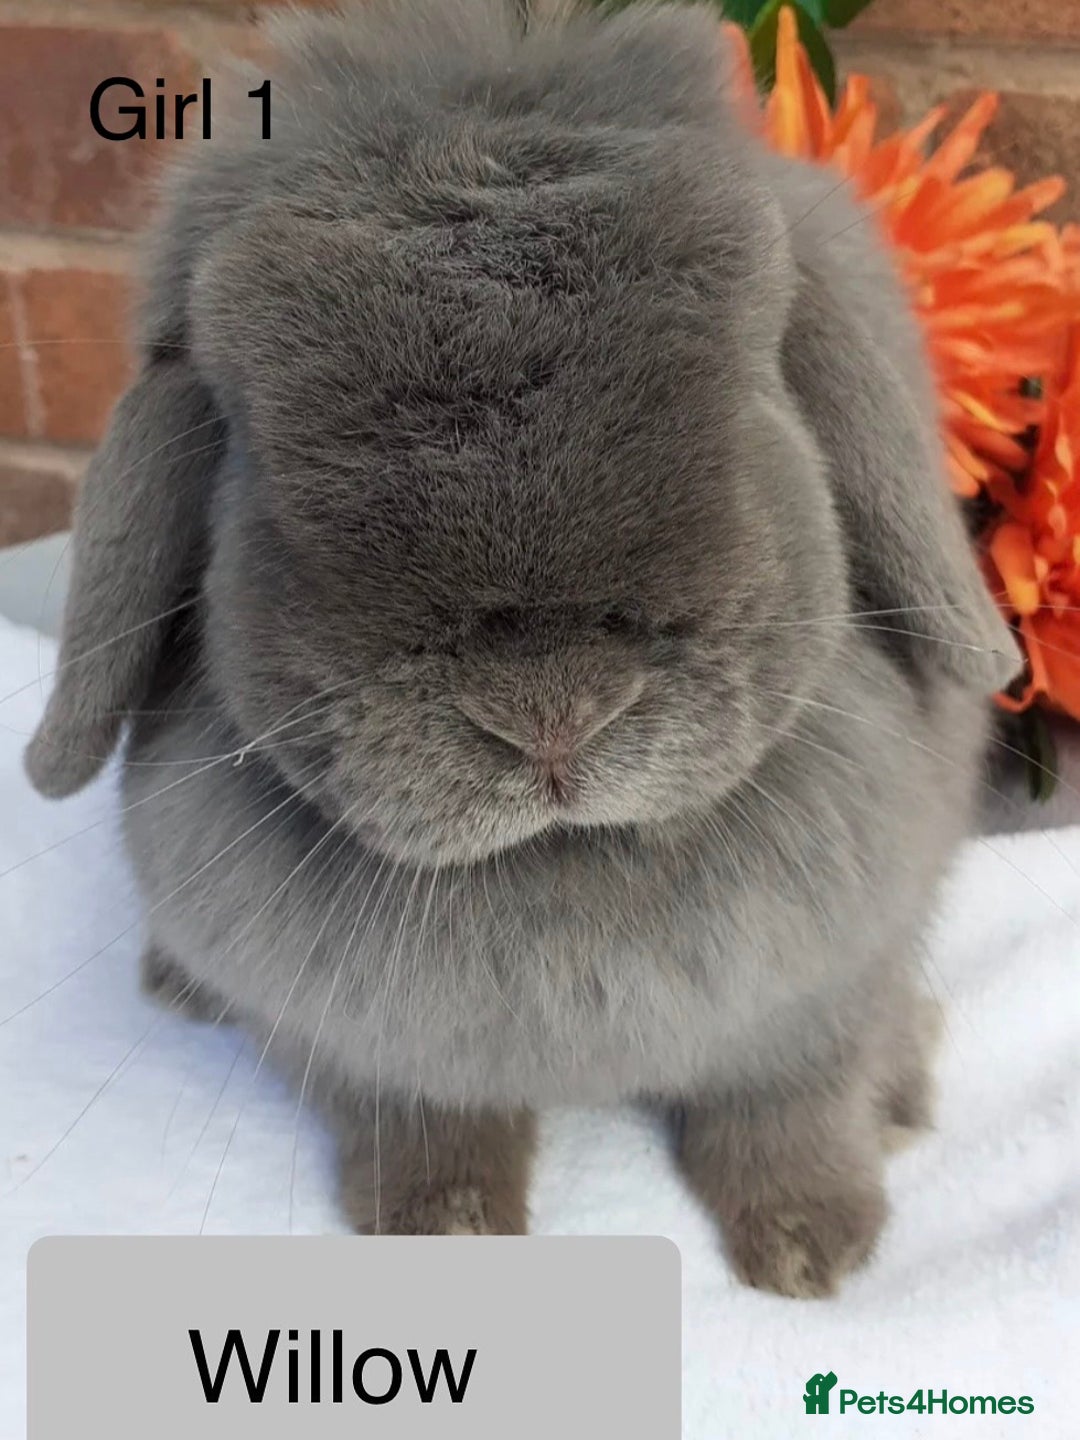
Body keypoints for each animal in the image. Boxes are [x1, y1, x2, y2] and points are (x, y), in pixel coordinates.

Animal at [25, 0, 1020, 1295]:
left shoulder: (819, 995)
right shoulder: (380, 1060)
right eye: (254, 439)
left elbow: (786, 1113)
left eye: (756, 371)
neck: (562, 864)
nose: (551, 713)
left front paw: (815, 1251)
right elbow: (428, 1133)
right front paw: (443, 1235)